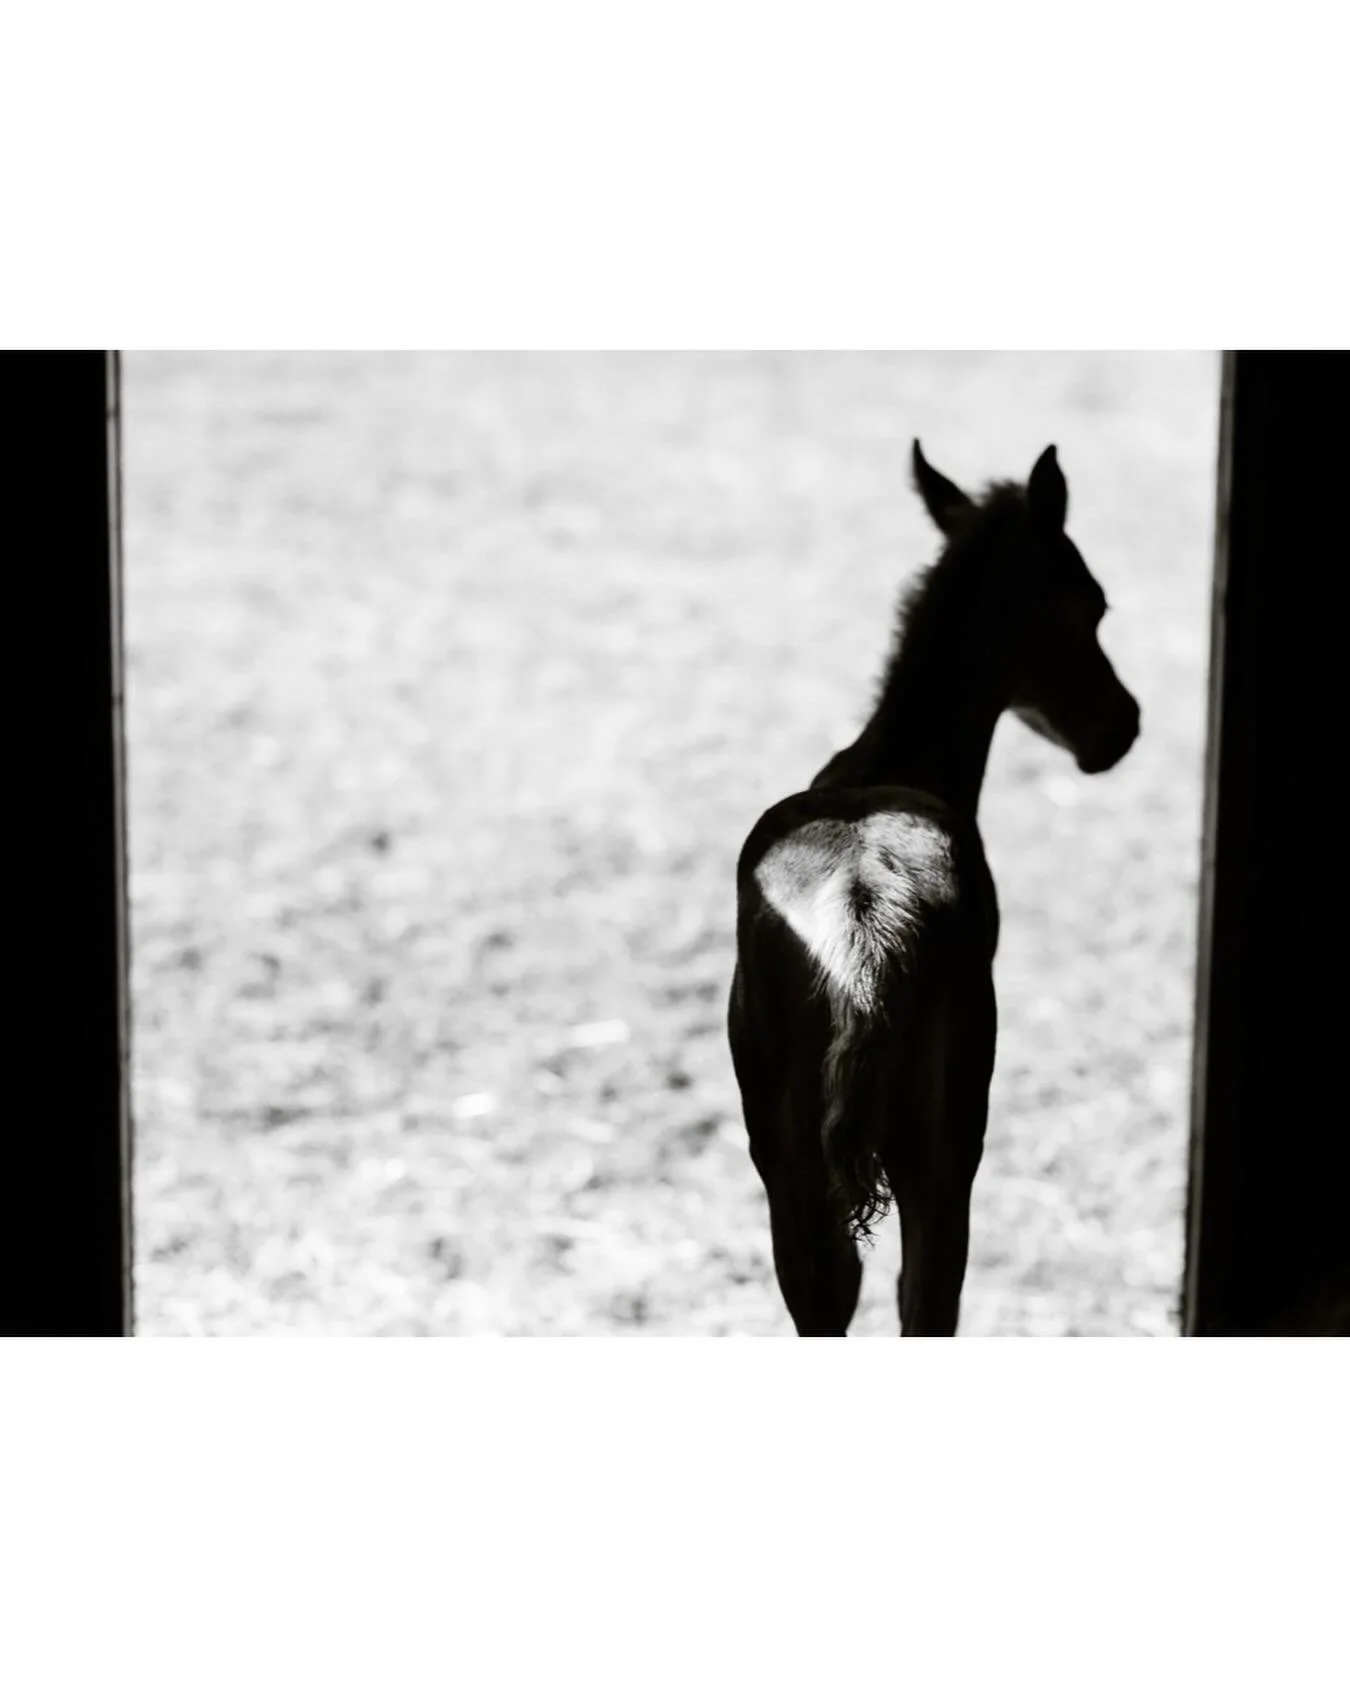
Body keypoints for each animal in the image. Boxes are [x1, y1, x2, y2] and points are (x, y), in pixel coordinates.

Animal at [727, 442, 1140, 1335]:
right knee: (924, 1300)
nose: (1120, 727)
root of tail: (860, 914)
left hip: (791, 1164)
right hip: (944, 1153)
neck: (894, 762)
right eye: (1091, 602)